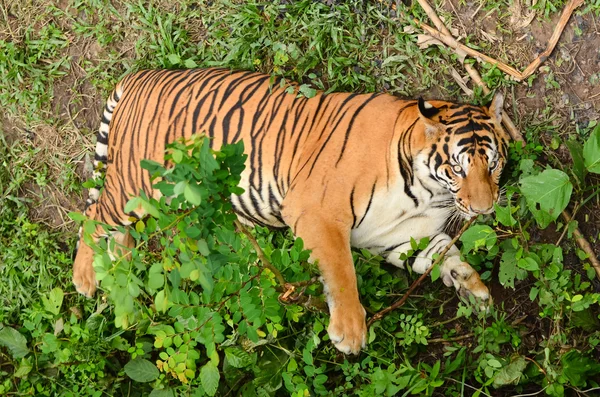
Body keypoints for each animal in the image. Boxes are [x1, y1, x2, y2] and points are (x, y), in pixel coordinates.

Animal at [72, 67, 508, 352]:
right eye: (457, 167)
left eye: (493, 164)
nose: (485, 209)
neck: (426, 189)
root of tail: (139, 75)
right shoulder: (316, 211)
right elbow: (341, 271)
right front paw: (350, 331)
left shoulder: (396, 237)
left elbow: (444, 255)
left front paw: (472, 288)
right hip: (135, 183)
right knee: (95, 217)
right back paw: (87, 279)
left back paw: (124, 278)